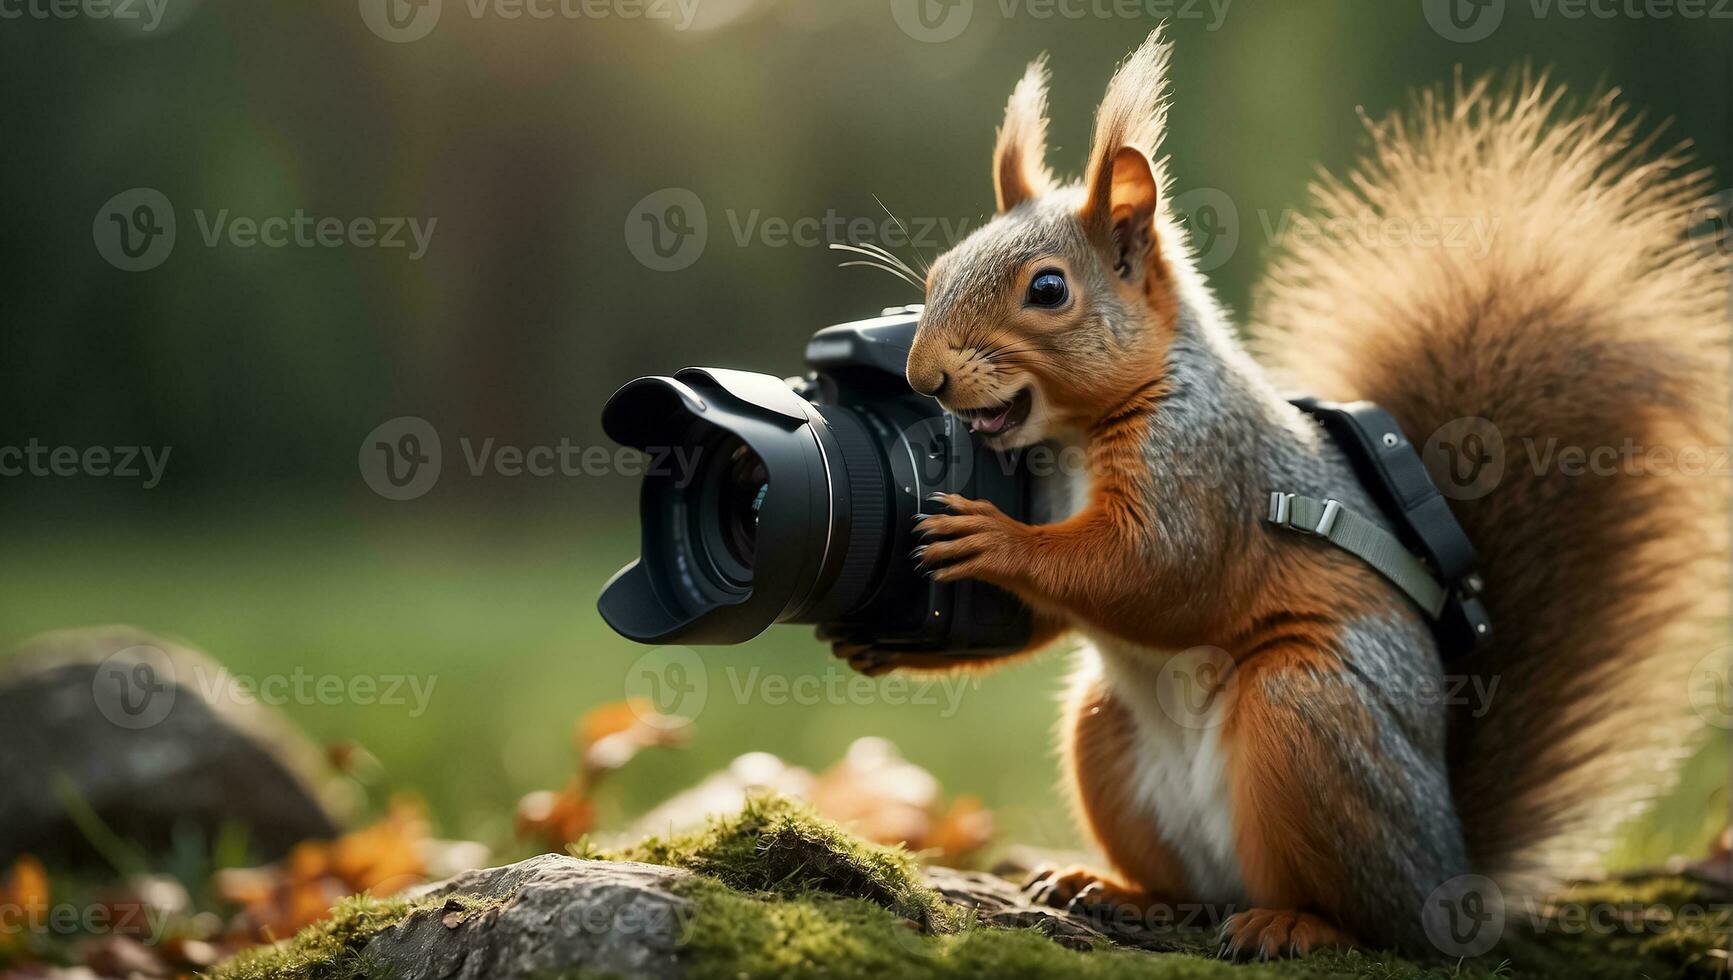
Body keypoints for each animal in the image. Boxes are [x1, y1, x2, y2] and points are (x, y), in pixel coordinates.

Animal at [835, 28, 1719, 957]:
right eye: (936, 273)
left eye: (1047, 289)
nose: (922, 374)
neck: (1079, 435)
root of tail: (1452, 874)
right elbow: (1048, 615)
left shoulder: (1204, 469)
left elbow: (1152, 570)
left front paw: (990, 540)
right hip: (1104, 728)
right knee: (1191, 888)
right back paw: (1117, 890)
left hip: (1307, 714)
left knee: (1368, 919)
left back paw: (1294, 922)